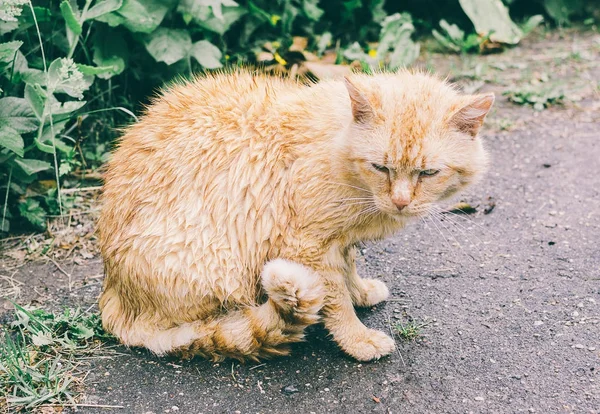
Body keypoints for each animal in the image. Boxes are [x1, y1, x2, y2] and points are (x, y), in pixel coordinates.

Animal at [98, 71, 492, 362]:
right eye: (381, 167)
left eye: (428, 173)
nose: (400, 202)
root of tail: (114, 295)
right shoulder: (307, 246)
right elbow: (336, 302)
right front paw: (357, 339)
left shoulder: (338, 241)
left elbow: (348, 270)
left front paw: (361, 292)